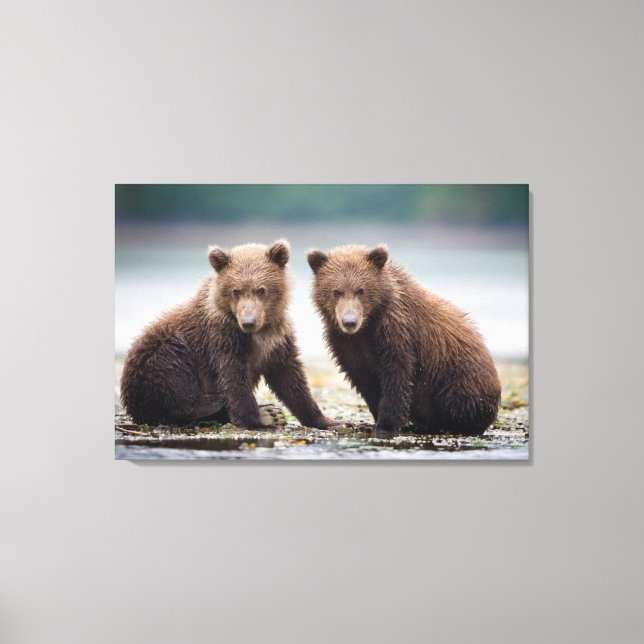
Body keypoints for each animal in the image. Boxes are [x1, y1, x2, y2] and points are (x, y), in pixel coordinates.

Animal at [121, 239, 335, 430]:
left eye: (261, 290)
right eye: (236, 291)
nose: (249, 321)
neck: (258, 332)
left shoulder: (277, 338)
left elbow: (290, 377)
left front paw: (325, 420)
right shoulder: (222, 337)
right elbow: (233, 377)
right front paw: (256, 419)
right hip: (154, 358)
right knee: (173, 374)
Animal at [307, 244, 501, 437]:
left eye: (361, 290)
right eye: (336, 291)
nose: (349, 321)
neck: (368, 325)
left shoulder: (396, 332)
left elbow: (397, 376)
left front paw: (385, 425)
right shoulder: (345, 344)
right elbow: (364, 380)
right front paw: (373, 421)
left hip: (459, 378)